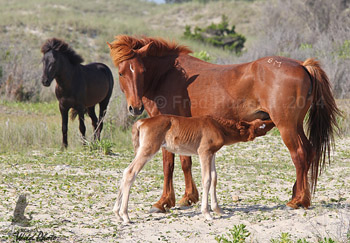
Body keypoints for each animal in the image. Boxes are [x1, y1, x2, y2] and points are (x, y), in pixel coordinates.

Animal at [113, 115, 274, 223]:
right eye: (261, 126)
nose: (271, 121)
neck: (219, 127)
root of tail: (142, 122)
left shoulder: (212, 154)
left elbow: (214, 178)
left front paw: (217, 209)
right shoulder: (204, 152)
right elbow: (207, 179)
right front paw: (207, 213)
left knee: (125, 172)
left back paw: (117, 213)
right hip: (148, 149)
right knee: (130, 173)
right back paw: (125, 215)